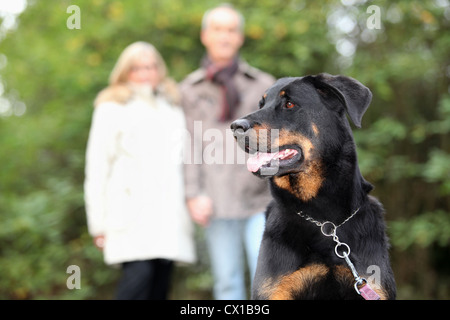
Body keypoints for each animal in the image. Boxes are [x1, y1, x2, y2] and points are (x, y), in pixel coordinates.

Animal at [230, 74, 396, 298]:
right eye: (261, 104)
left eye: (289, 104)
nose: (235, 127)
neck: (325, 223)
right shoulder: (276, 290)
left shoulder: (373, 284)